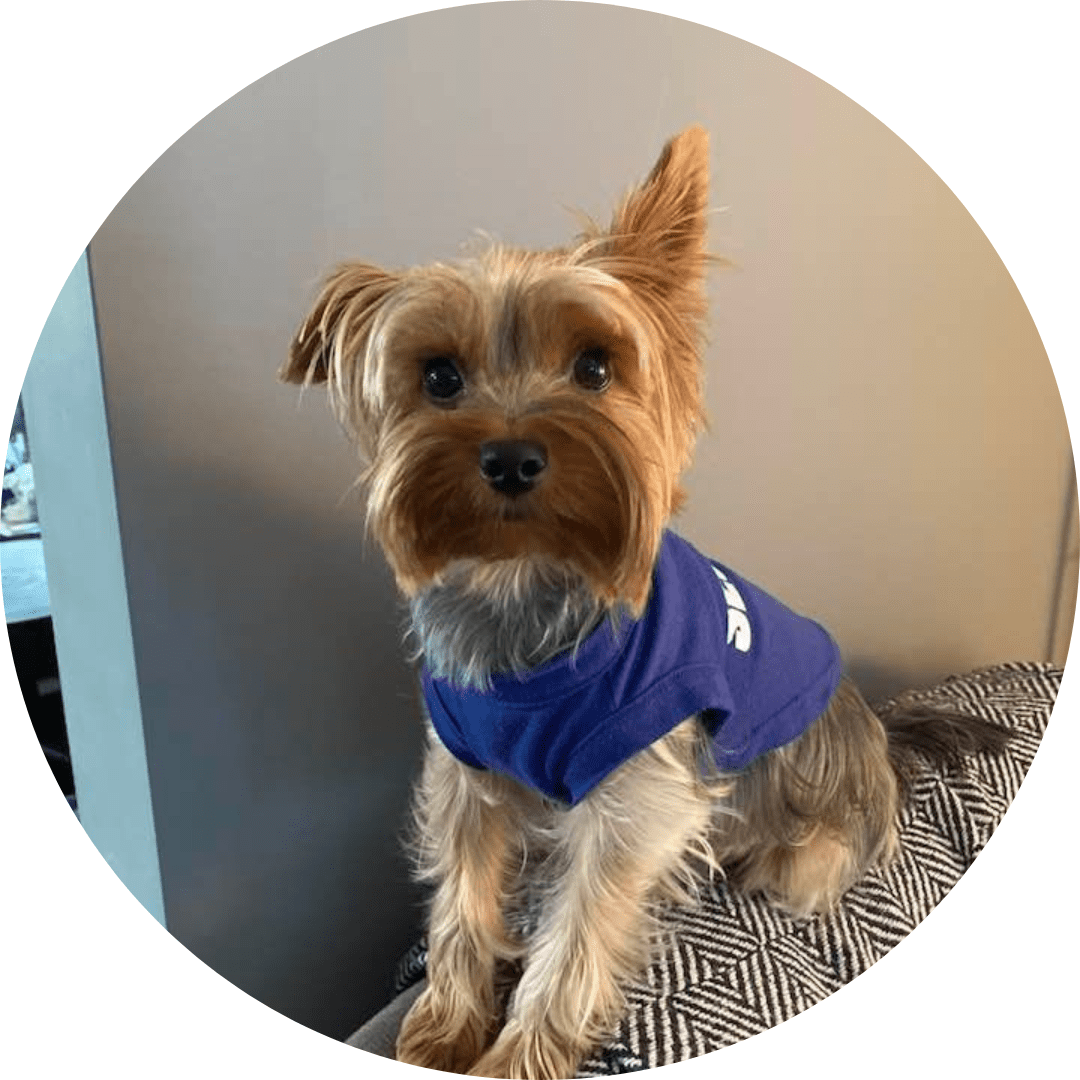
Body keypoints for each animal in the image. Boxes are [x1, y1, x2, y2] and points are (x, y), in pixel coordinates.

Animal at [282, 130, 1006, 1075]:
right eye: (438, 377)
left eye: (595, 366)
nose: (511, 457)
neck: (527, 588)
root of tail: (881, 736)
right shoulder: (466, 771)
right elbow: (461, 894)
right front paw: (443, 1027)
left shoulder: (636, 795)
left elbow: (579, 933)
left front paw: (519, 1056)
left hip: (804, 843)